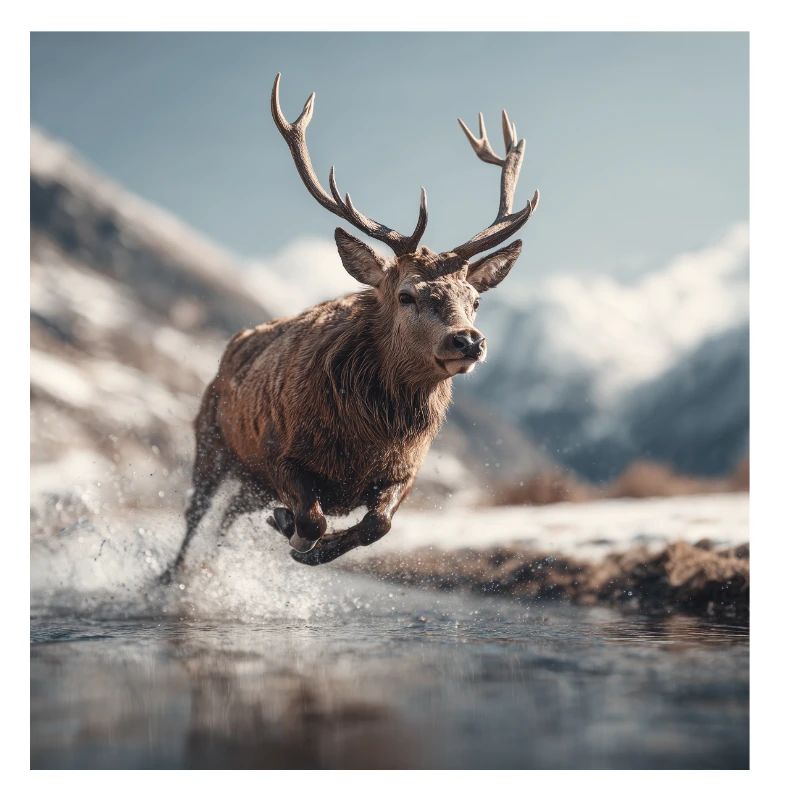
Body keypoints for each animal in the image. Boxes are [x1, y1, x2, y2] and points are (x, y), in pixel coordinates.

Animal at [160, 73, 539, 581]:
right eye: (406, 294)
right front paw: (296, 533)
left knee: (226, 518)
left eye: (475, 301)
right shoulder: (280, 452)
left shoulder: (404, 474)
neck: (365, 443)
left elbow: (377, 525)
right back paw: (171, 578)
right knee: (195, 513)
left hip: (248, 481)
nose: (468, 341)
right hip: (213, 442)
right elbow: (313, 519)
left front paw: (309, 544)